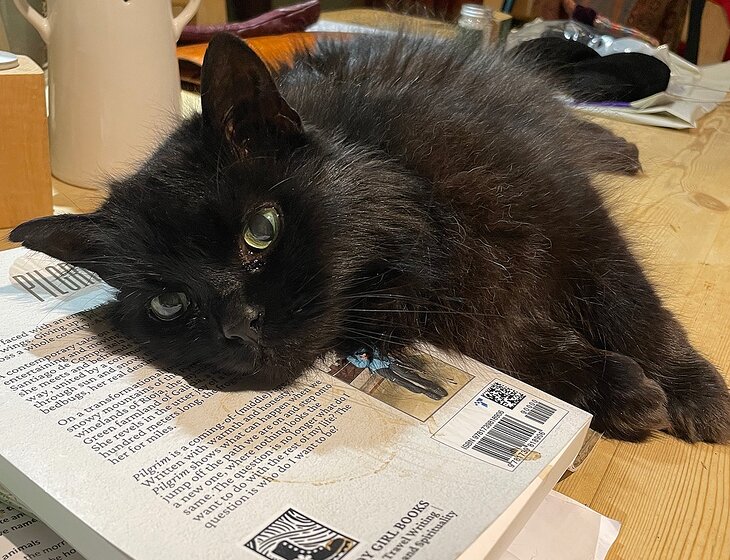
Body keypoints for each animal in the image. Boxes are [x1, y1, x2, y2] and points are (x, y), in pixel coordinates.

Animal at [10, 32, 730, 443]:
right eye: (168, 303)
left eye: (262, 229)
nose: (238, 327)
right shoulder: (472, 310)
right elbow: (531, 352)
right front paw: (622, 393)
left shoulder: (573, 223)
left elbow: (637, 315)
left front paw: (698, 395)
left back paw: (622, 147)